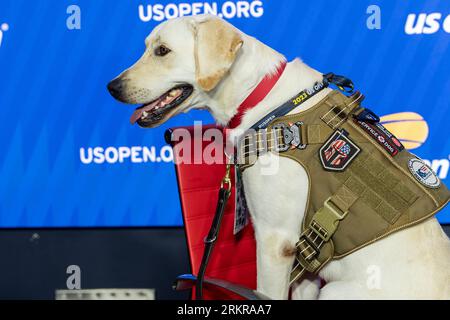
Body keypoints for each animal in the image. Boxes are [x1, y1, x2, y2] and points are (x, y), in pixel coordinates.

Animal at [108, 14, 450, 300]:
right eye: (148, 48)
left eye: (162, 51)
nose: (112, 87)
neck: (259, 97)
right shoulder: (303, 262)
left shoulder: (276, 242)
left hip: (335, 291)